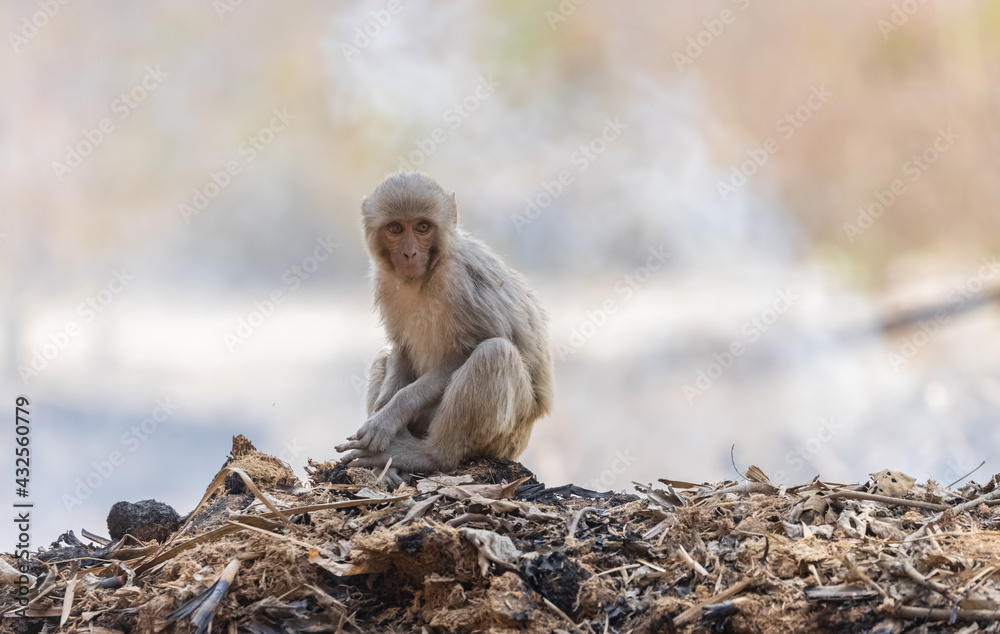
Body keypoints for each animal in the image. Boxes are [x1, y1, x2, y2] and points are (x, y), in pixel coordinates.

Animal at [335, 171, 553, 486]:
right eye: (396, 228)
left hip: (507, 440)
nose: (410, 253)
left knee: (494, 353)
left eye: (423, 227)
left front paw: (388, 417)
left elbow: (467, 351)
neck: (425, 275)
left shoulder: (456, 280)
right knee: (384, 356)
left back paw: (428, 455)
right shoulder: (384, 279)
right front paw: (381, 412)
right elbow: (401, 349)